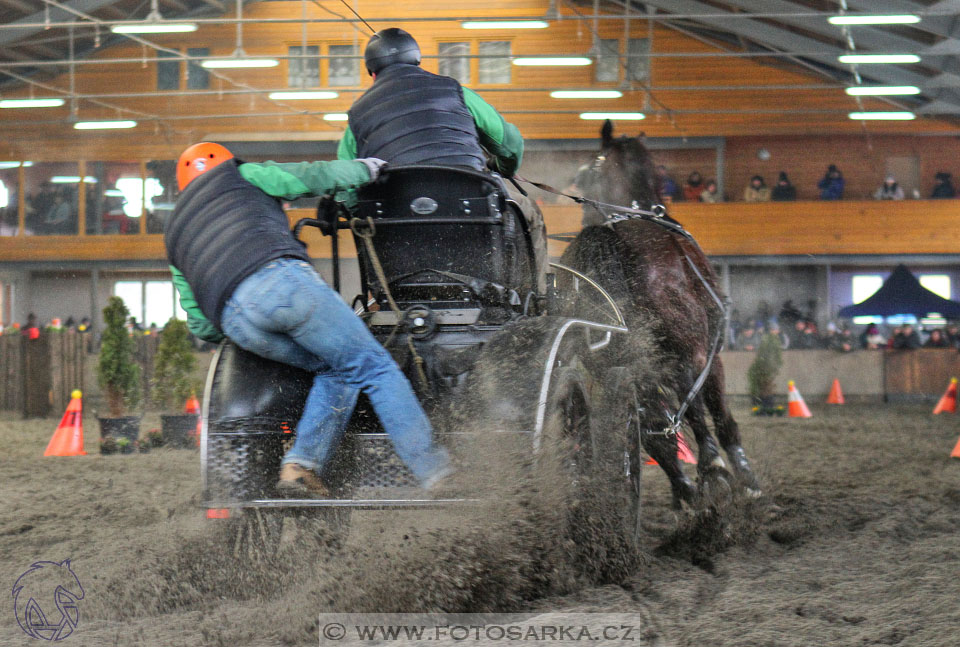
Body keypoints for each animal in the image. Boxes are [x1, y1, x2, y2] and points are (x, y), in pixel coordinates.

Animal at [564, 120, 756, 506]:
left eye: (583, 173)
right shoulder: (711, 354)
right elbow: (719, 414)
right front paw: (744, 476)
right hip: (684, 349)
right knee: (690, 403)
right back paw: (713, 469)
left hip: (620, 362)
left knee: (653, 430)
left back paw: (687, 493)